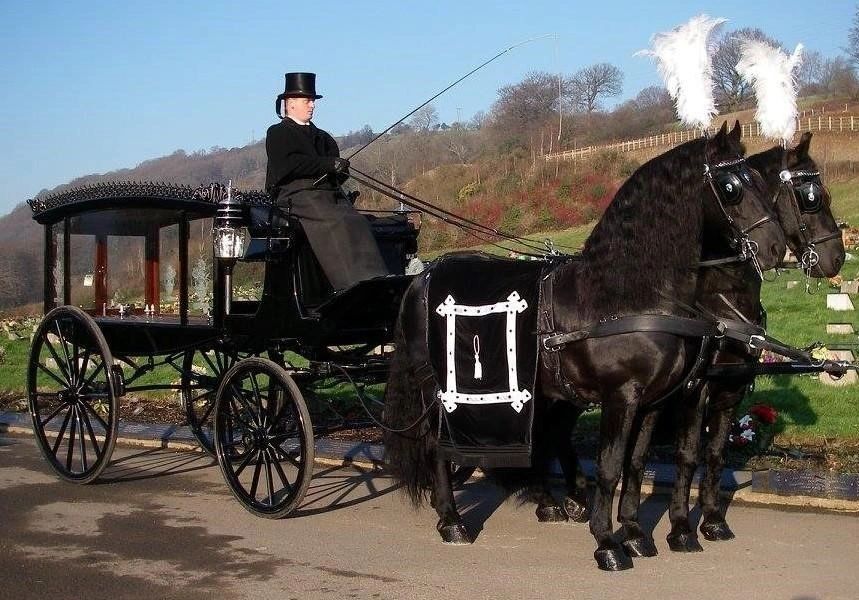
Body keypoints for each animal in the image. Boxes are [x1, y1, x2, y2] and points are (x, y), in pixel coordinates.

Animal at [386, 120, 788, 568]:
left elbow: (635, 463)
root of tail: (421, 279)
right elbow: (610, 468)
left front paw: (635, 533)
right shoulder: (622, 396)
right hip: (438, 393)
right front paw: (608, 542)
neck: (624, 296)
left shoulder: (654, 402)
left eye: (760, 181)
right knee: (436, 446)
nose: (775, 248)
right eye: (731, 186)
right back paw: (452, 521)